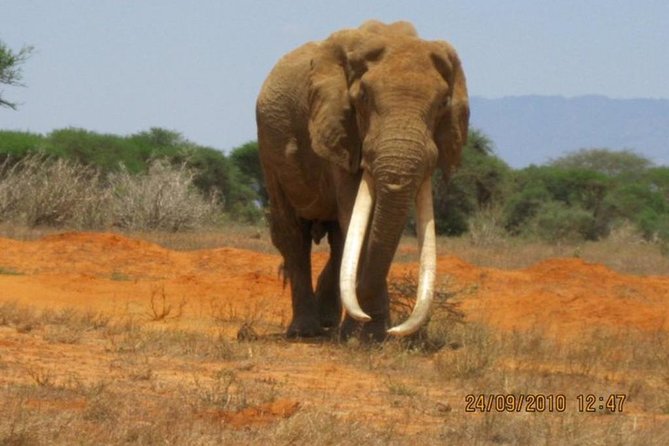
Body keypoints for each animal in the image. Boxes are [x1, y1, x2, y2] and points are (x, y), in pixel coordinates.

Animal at [256, 20, 469, 341]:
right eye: (363, 98)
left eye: (443, 103)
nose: (391, 329)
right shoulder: (339, 128)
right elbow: (355, 213)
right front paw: (366, 335)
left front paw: (370, 336)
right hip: (269, 151)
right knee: (293, 234)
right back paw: (306, 331)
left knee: (338, 238)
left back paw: (329, 324)